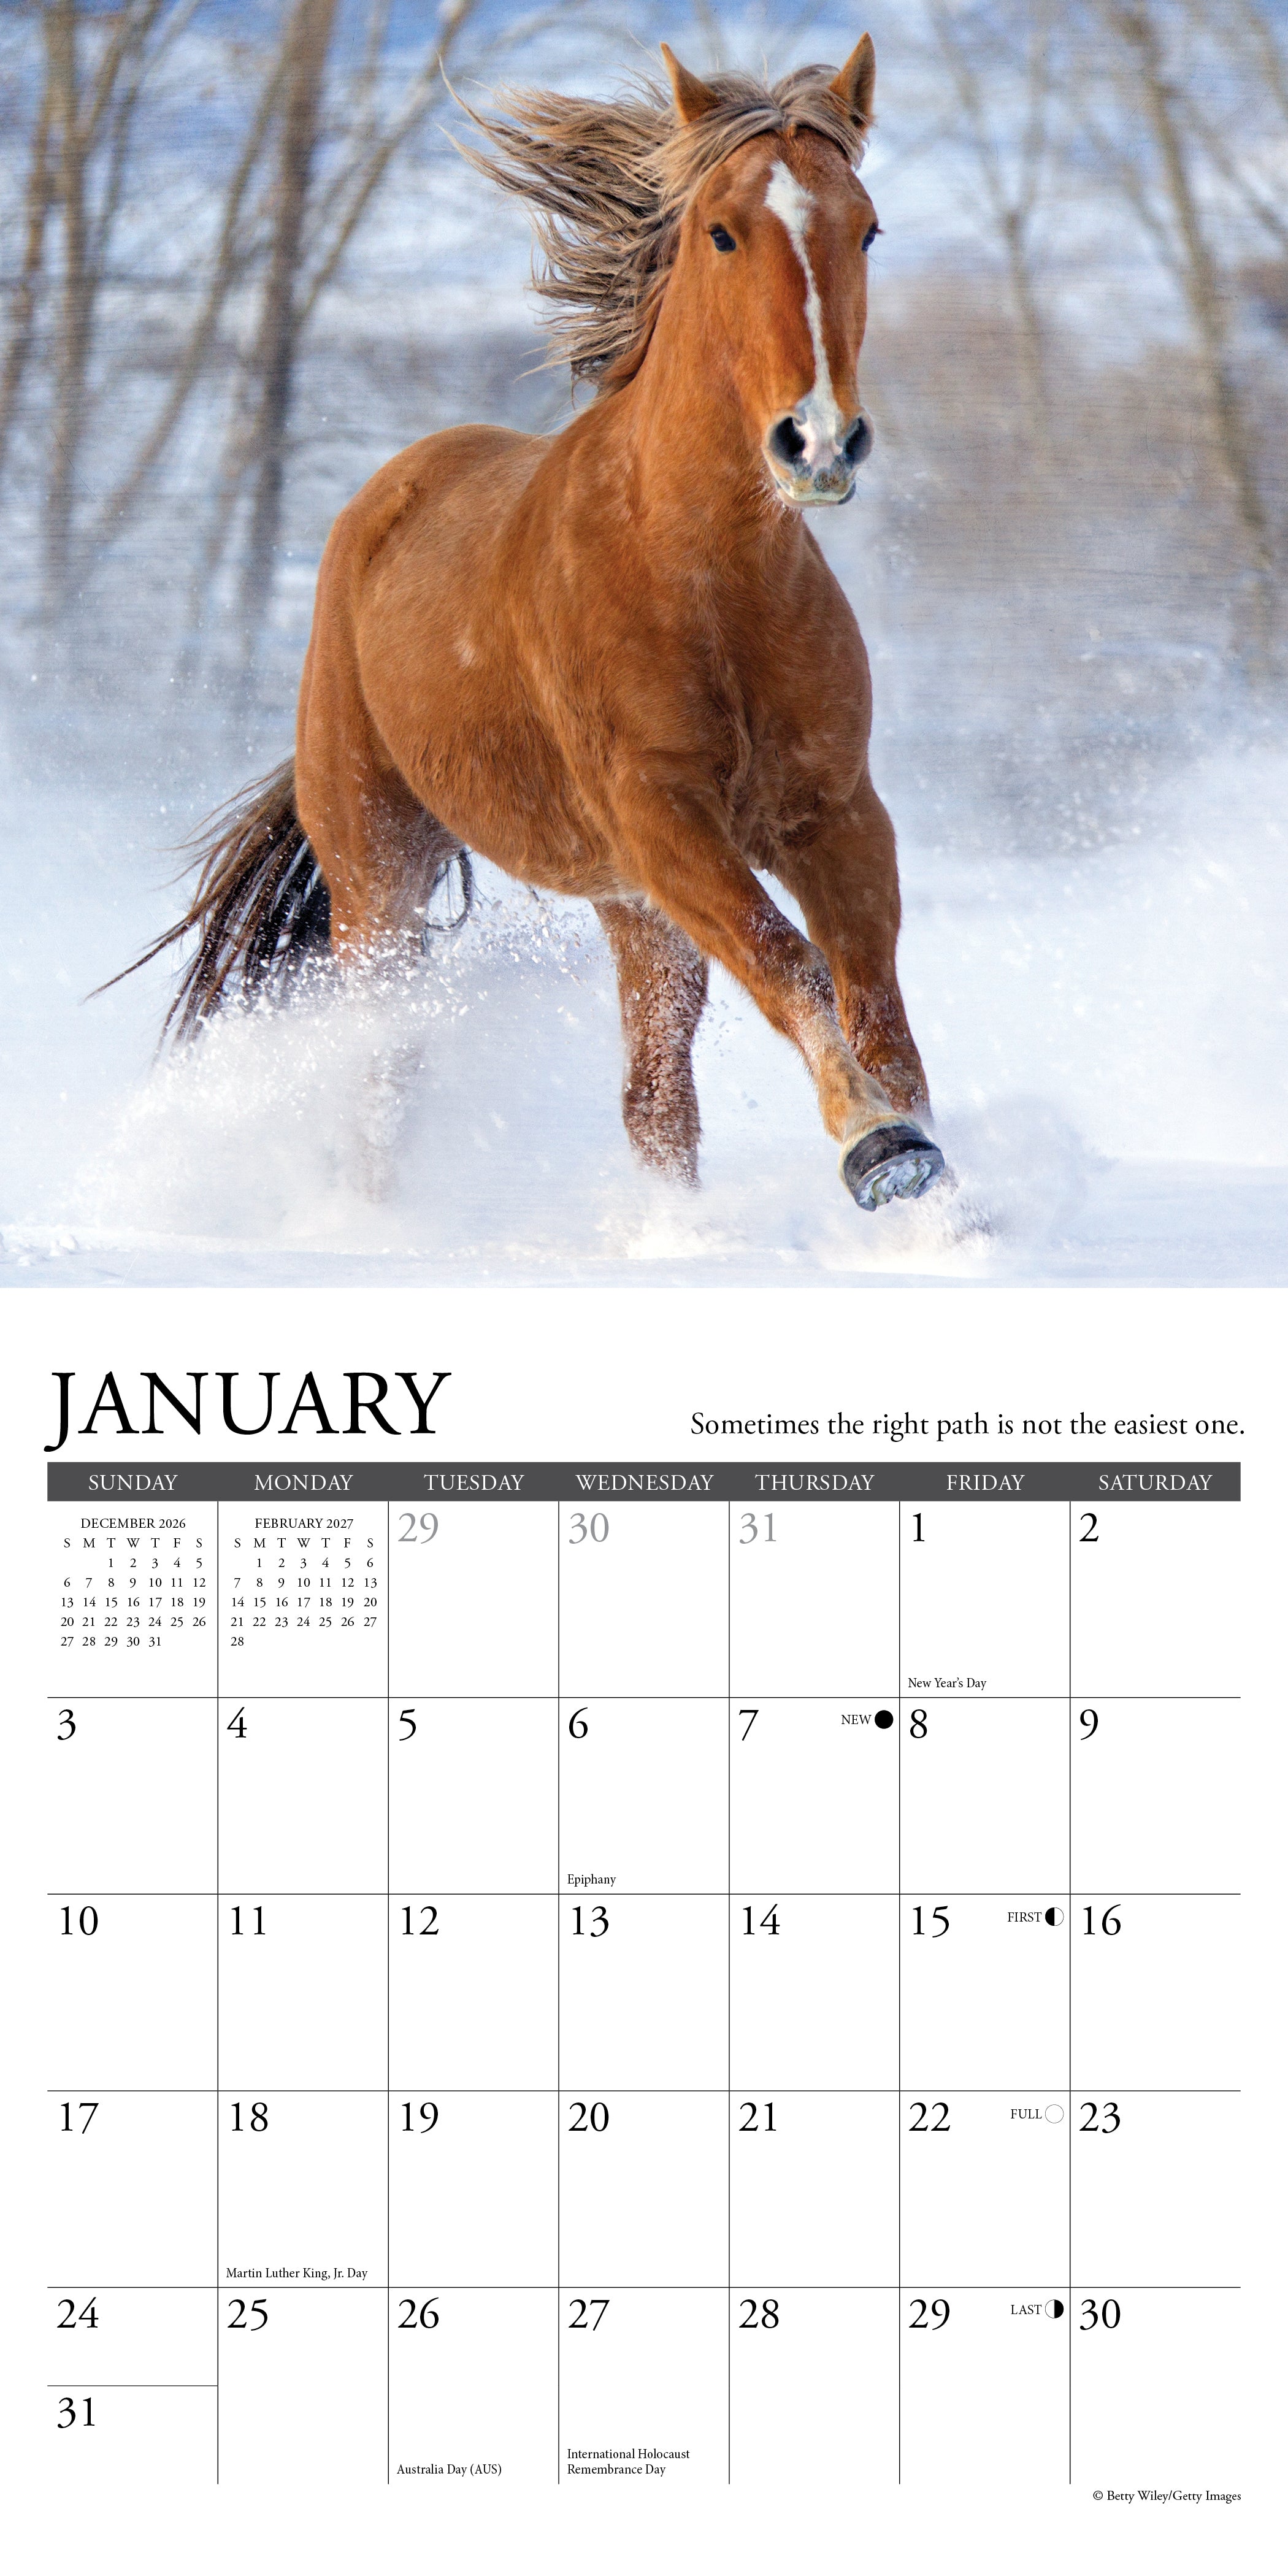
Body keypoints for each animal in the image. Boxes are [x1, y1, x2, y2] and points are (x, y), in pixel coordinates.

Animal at [120, 34, 945, 1213]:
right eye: (722, 230)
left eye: (866, 226)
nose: (819, 441)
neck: (705, 578)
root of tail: (385, 499)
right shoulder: (662, 818)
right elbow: (793, 966)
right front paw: (877, 1145)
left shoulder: (830, 814)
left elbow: (874, 1005)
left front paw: (928, 1176)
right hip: (380, 873)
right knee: (382, 1071)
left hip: (630, 909)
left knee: (655, 1100)